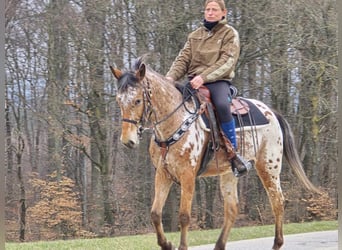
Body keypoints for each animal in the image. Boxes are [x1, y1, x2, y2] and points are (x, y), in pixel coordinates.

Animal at [110, 56, 320, 250]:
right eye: (118, 101)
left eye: (137, 100)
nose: (127, 140)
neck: (176, 121)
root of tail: (271, 112)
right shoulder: (163, 174)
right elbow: (155, 213)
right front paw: (166, 244)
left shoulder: (188, 175)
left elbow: (184, 216)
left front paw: (181, 246)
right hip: (230, 172)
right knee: (232, 208)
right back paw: (219, 245)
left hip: (268, 167)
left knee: (277, 201)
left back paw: (277, 243)